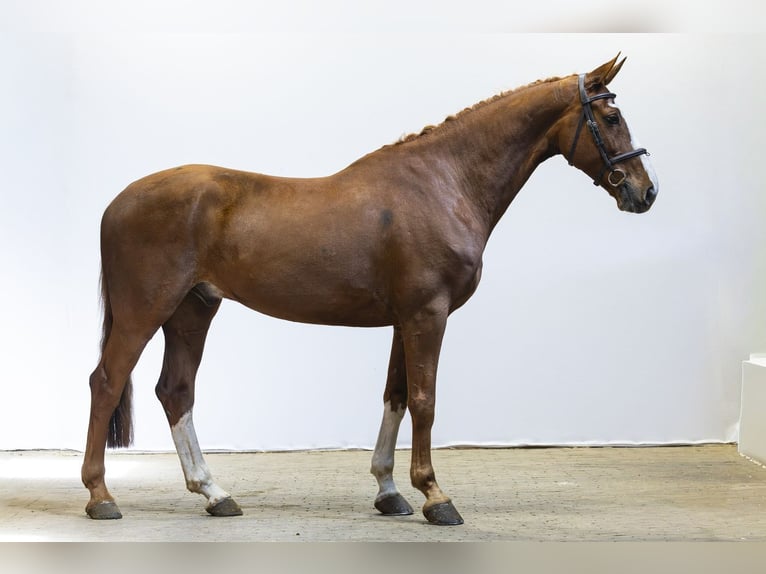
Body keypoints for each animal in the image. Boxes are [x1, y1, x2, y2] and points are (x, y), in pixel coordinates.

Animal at [82, 54, 658, 525]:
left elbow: (396, 396)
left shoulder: (406, 318)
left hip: (192, 311)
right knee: (106, 382)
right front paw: (436, 497)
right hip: (144, 310)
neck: (443, 183)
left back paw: (214, 493)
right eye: (610, 118)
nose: (644, 191)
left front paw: (390, 492)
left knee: (176, 391)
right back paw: (101, 496)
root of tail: (116, 201)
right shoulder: (428, 314)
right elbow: (425, 401)